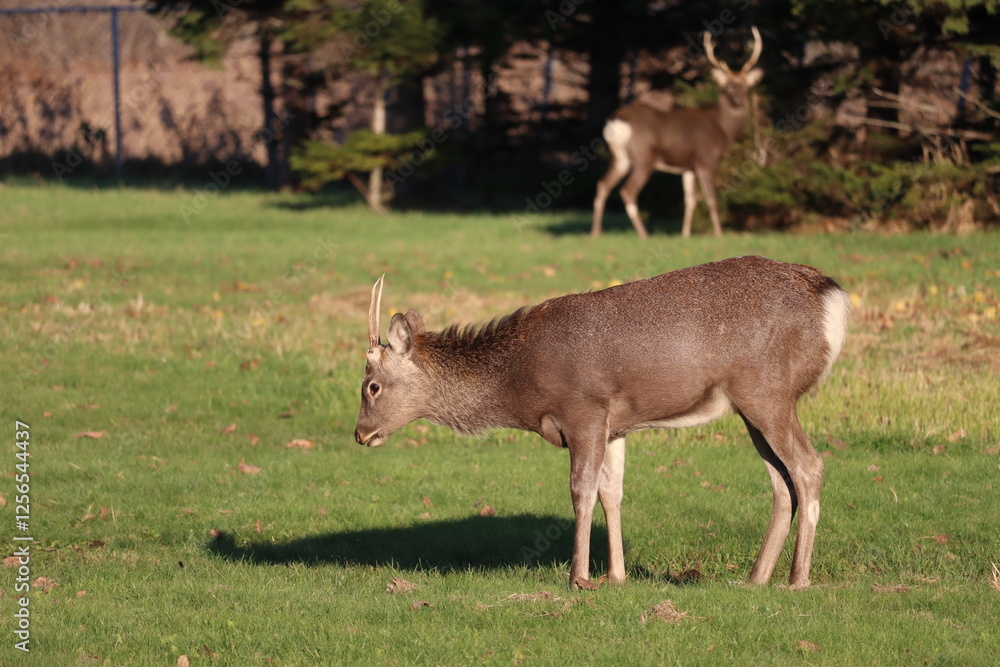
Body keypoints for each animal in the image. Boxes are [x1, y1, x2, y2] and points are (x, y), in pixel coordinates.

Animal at [356, 256, 848, 588]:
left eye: (372, 386)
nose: (360, 434)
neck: (520, 381)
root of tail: (834, 299)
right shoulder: (616, 426)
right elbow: (612, 493)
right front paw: (616, 575)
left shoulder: (585, 408)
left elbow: (581, 491)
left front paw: (579, 578)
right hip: (751, 406)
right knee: (782, 481)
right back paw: (755, 577)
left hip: (768, 390)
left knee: (809, 466)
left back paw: (797, 579)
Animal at [588, 27, 760, 240]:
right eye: (727, 85)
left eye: (746, 85)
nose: (737, 98)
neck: (722, 128)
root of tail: (617, 120)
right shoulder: (706, 159)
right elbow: (711, 199)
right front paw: (719, 234)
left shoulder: (688, 167)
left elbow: (690, 201)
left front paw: (685, 234)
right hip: (644, 156)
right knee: (628, 191)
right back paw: (644, 235)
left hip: (620, 157)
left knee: (602, 185)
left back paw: (595, 233)